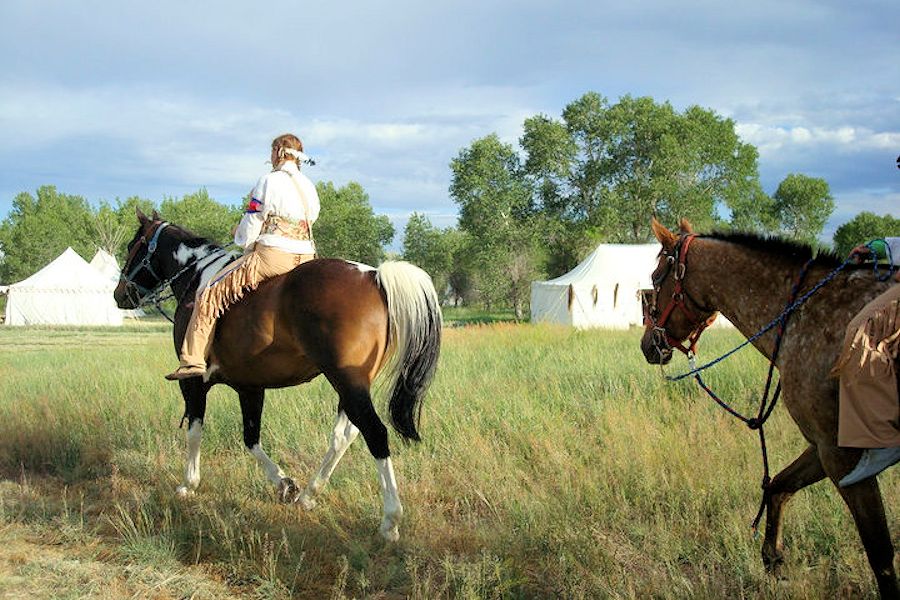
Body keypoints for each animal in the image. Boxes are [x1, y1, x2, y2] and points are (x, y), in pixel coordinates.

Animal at [116, 212, 442, 544]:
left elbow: (196, 431)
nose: (120, 294)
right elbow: (251, 438)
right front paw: (284, 484)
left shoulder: (193, 383)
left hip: (348, 383)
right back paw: (309, 495)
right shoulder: (249, 387)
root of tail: (373, 276)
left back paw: (390, 520)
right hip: (351, 386)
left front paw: (188, 484)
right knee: (344, 434)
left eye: (132, 245)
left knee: (375, 433)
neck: (197, 274)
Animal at [644, 218, 896, 596]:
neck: (806, 316)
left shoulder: (843, 455)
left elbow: (880, 554)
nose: (648, 345)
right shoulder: (821, 447)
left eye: (656, 277)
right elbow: (777, 486)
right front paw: (773, 559)